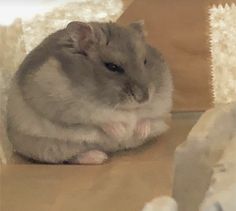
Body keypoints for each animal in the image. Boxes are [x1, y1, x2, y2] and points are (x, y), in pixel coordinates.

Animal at [6, 20, 172, 164]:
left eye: (145, 61)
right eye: (112, 66)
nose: (144, 98)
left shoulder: (160, 104)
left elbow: (146, 117)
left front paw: (139, 131)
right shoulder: (69, 107)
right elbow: (100, 119)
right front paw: (121, 132)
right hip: (46, 148)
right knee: (70, 158)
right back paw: (99, 157)